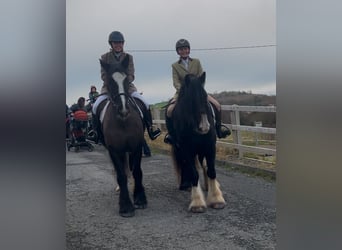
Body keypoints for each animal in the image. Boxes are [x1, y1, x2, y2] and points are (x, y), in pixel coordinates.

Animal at [98, 55, 148, 217]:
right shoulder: (114, 150)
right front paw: (125, 205)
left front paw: (140, 198)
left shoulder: (137, 146)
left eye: (126, 80)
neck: (123, 122)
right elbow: (121, 175)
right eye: (109, 82)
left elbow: (137, 171)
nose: (124, 110)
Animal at [166, 72, 226, 213]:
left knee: (205, 166)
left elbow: (211, 170)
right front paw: (197, 202)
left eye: (205, 95)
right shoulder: (186, 149)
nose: (204, 127)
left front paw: (216, 199)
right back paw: (187, 185)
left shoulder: (210, 146)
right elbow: (194, 173)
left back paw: (209, 186)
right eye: (190, 99)